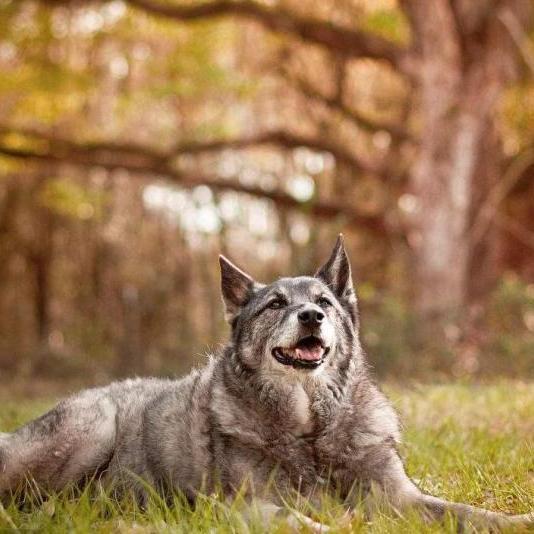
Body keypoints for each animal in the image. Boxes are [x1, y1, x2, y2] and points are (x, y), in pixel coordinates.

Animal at [0, 239, 532, 532]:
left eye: (324, 302)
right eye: (275, 304)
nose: (311, 315)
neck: (311, 430)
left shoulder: (399, 499)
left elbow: (462, 510)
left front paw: (513, 521)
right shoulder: (243, 507)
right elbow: (294, 519)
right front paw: (332, 526)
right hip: (94, 429)